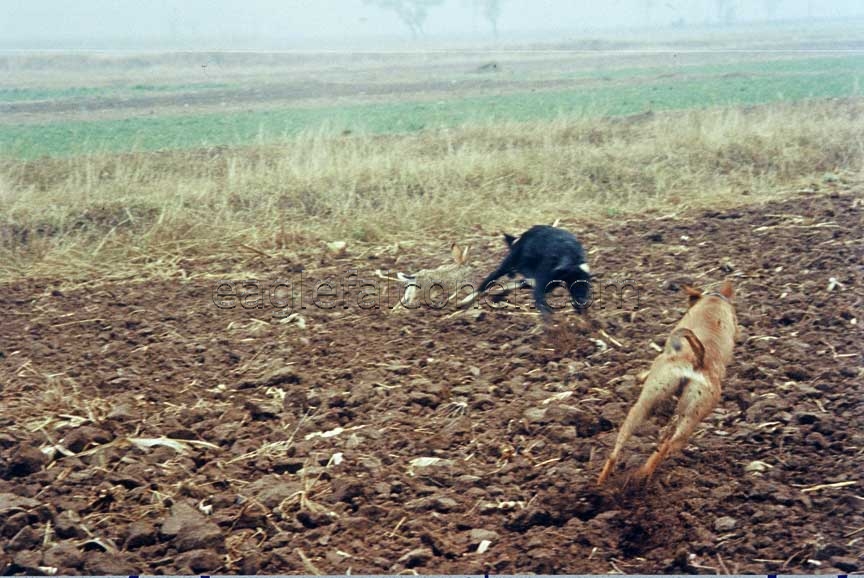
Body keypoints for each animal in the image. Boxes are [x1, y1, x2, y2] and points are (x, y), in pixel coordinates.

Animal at [600, 278, 736, 482]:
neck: (714, 301)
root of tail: (698, 359)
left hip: (650, 406)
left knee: (642, 448)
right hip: (681, 415)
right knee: (657, 447)